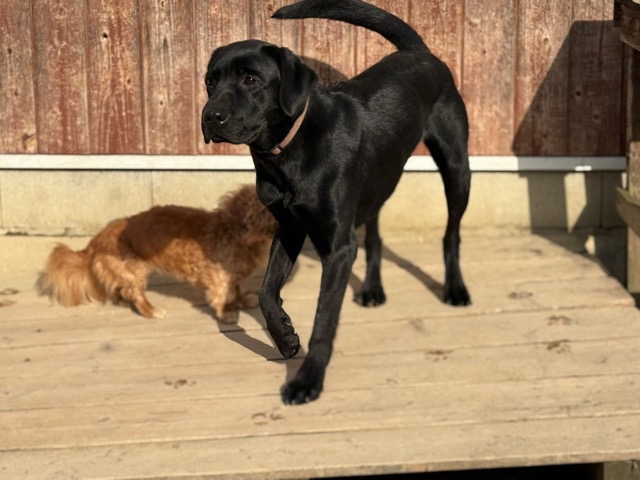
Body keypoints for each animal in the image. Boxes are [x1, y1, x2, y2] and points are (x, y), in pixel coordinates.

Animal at [37, 184, 276, 324]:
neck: (234, 231)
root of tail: (97, 239)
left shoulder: (232, 276)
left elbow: (236, 290)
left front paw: (243, 301)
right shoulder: (217, 276)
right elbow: (222, 295)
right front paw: (227, 313)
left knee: (121, 289)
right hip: (135, 270)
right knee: (135, 293)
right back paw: (151, 311)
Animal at [201, 0, 471, 404]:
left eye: (251, 80)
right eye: (210, 81)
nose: (210, 117)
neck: (287, 153)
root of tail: (419, 52)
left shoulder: (338, 248)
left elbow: (324, 319)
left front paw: (307, 379)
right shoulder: (290, 227)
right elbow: (266, 293)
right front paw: (284, 337)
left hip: (456, 167)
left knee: (451, 233)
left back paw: (455, 288)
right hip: (379, 178)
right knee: (374, 233)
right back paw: (373, 289)